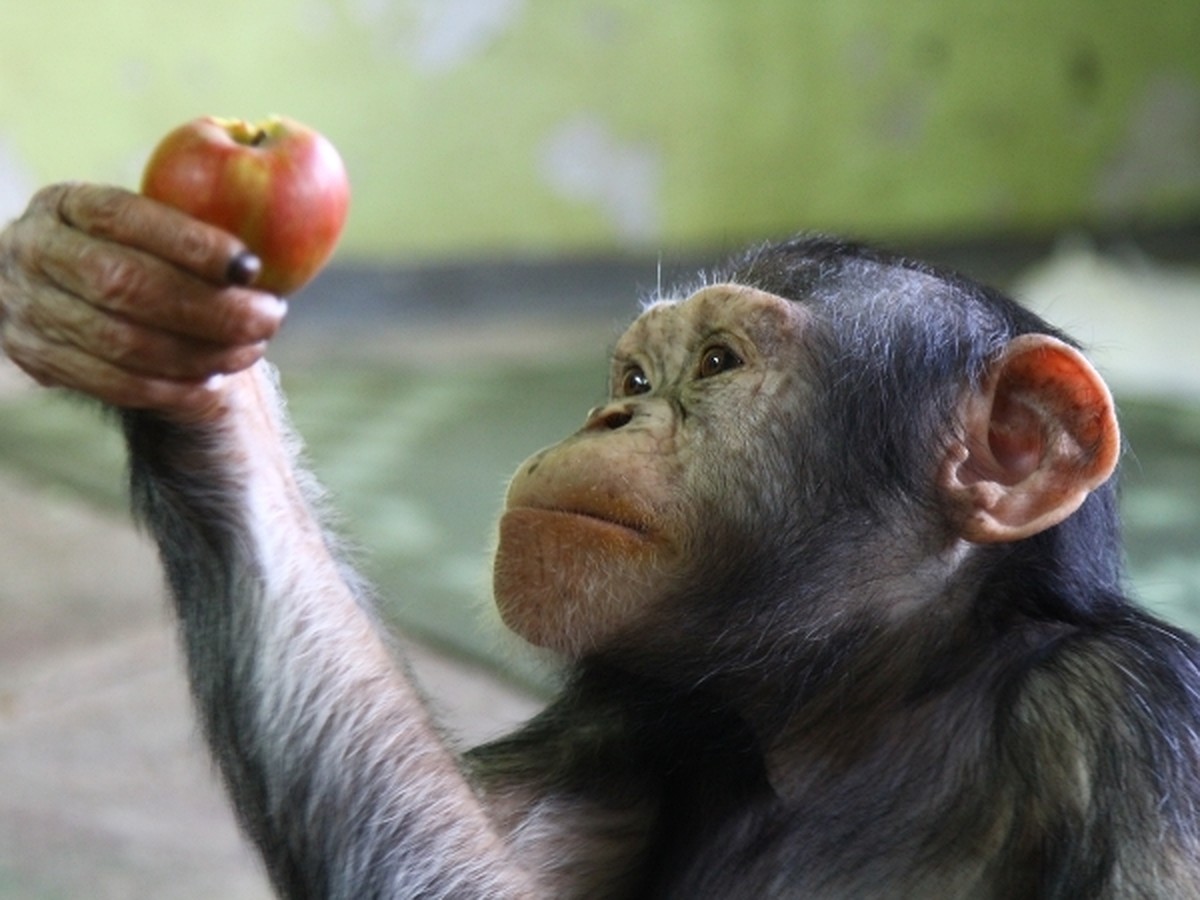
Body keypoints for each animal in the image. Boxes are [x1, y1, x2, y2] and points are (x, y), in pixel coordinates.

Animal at [2, 180, 1200, 897]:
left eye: (716, 363)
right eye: (632, 377)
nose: (608, 416)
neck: (870, 701)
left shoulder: (1137, 729)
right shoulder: (625, 719)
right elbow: (465, 871)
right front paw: (129, 302)